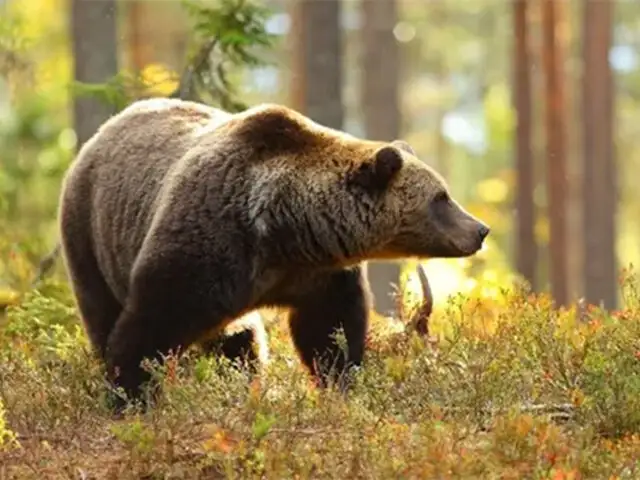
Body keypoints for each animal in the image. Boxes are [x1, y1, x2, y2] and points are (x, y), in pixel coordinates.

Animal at [58, 98, 490, 408]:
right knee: (102, 309)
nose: (480, 230)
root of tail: (102, 131)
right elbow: (151, 321)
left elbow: (327, 331)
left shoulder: (318, 274)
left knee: (239, 340)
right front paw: (129, 394)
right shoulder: (207, 244)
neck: (285, 229)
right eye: (441, 197)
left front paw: (341, 381)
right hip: (90, 234)